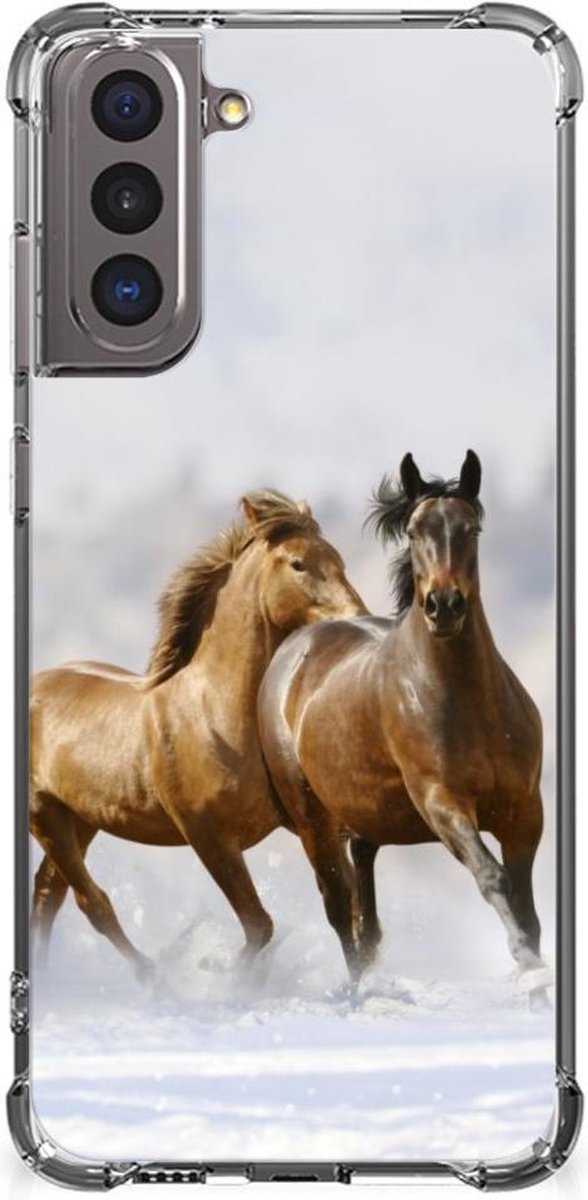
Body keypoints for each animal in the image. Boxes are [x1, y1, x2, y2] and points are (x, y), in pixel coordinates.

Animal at [30, 490, 367, 977]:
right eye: (298, 563)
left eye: (339, 559)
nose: (358, 618)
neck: (215, 715)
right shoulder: (208, 837)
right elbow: (259, 925)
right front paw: (220, 974)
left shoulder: (307, 823)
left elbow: (342, 904)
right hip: (44, 814)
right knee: (89, 902)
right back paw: (153, 976)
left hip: (80, 818)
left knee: (47, 894)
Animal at [258, 452, 545, 987]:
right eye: (413, 531)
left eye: (472, 528)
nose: (444, 605)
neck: (470, 705)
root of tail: (294, 649)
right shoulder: (442, 803)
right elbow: (493, 877)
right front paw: (527, 964)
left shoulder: (524, 812)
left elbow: (526, 904)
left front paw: (534, 966)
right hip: (313, 821)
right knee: (339, 908)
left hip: (364, 816)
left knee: (364, 911)